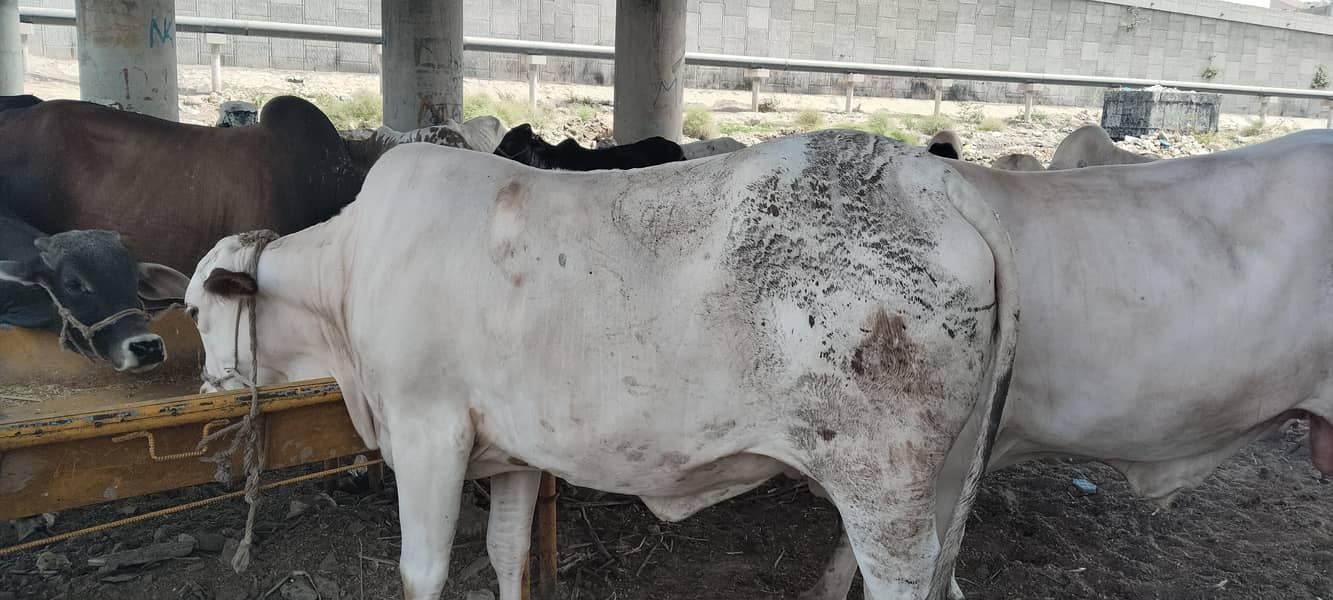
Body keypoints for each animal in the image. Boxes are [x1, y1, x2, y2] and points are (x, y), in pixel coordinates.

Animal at [185, 130, 1019, 600]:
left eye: (193, 310)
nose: (201, 384)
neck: (348, 272)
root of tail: (932, 177)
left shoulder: (428, 434)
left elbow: (421, 572)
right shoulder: (511, 451)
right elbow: (507, 553)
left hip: (882, 489)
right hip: (932, 481)